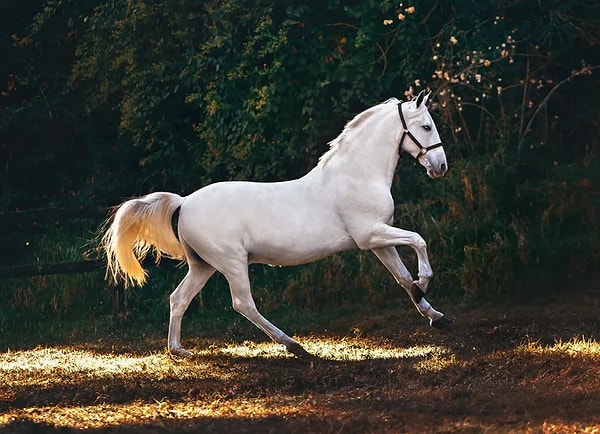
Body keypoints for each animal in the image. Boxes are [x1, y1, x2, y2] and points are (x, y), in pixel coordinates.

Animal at [102, 90, 450, 358]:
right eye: (426, 126)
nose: (441, 167)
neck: (358, 175)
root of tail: (184, 202)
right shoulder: (371, 235)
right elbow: (419, 240)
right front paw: (424, 282)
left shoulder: (379, 241)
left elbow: (402, 278)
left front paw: (434, 314)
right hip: (231, 262)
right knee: (243, 303)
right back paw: (293, 345)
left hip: (203, 265)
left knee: (179, 298)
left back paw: (179, 350)